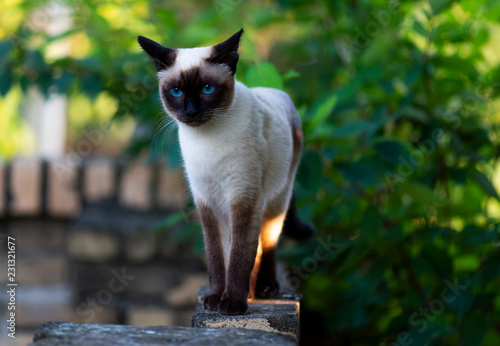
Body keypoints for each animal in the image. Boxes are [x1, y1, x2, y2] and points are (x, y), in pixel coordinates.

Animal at [139, 29, 314, 316]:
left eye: (207, 89)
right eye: (176, 91)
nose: (191, 111)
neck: (205, 142)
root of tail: (274, 92)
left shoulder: (244, 197)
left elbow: (240, 256)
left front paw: (232, 304)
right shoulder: (207, 202)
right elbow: (217, 257)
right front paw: (214, 300)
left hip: (276, 201)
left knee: (267, 243)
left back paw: (264, 290)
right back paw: (251, 292)